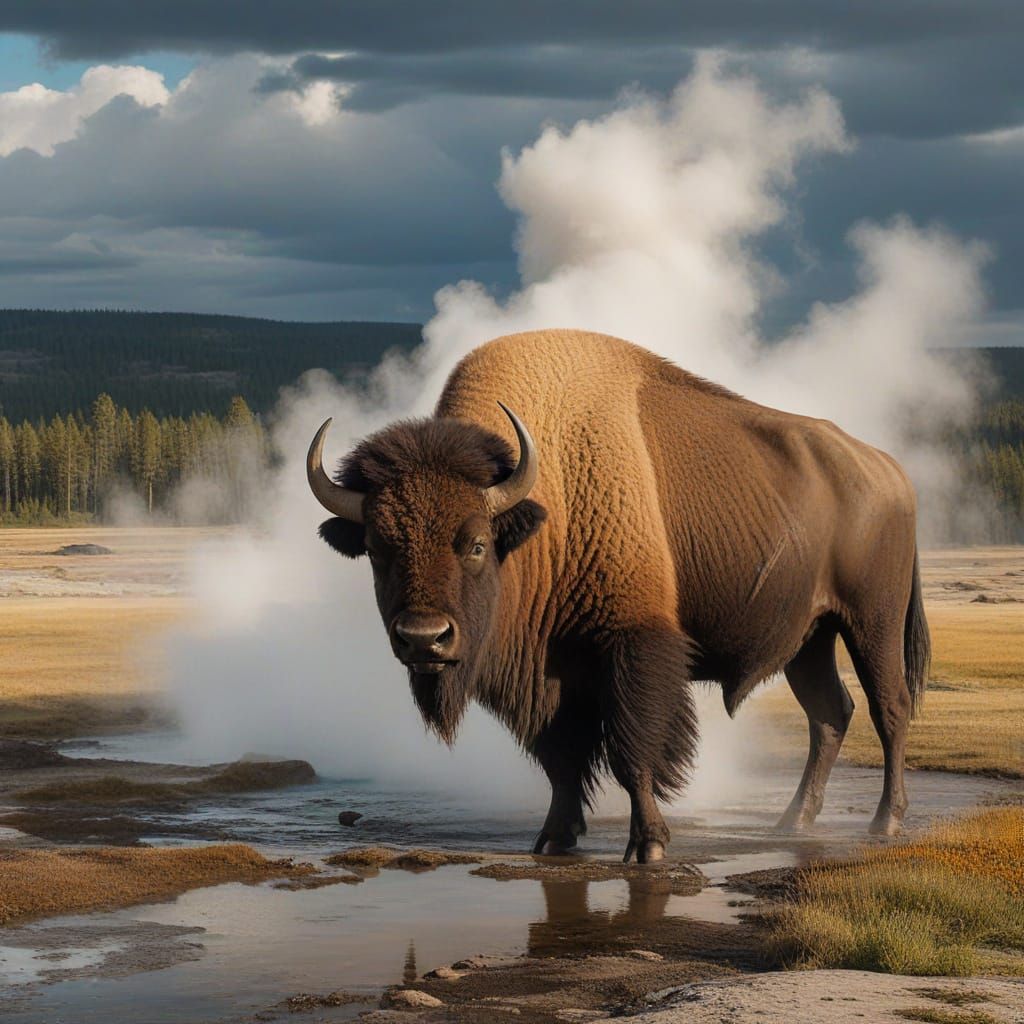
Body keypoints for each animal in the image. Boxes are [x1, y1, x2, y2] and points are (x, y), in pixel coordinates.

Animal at [308, 330, 929, 862]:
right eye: (378, 548)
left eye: (477, 544)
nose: (424, 639)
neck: (545, 506)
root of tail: (891, 472)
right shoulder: (551, 670)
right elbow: (561, 757)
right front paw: (553, 839)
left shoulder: (632, 645)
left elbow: (632, 749)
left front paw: (648, 845)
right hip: (809, 638)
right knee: (829, 714)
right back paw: (791, 822)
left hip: (870, 623)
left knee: (889, 708)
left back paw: (885, 822)